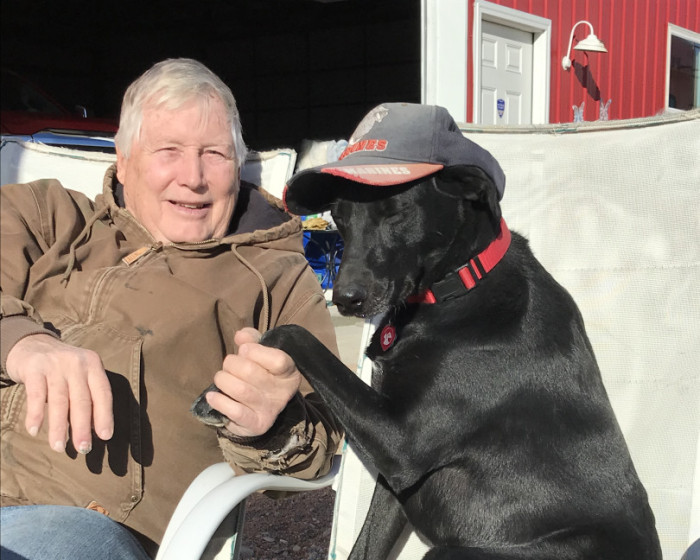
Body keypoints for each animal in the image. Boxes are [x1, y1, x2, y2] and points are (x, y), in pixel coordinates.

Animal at [194, 103, 662, 559]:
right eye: (340, 218)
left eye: (396, 212)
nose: (345, 299)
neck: (462, 285)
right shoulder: (394, 482)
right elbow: (365, 545)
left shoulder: (401, 441)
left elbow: (291, 333)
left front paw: (216, 395)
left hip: (454, 552)